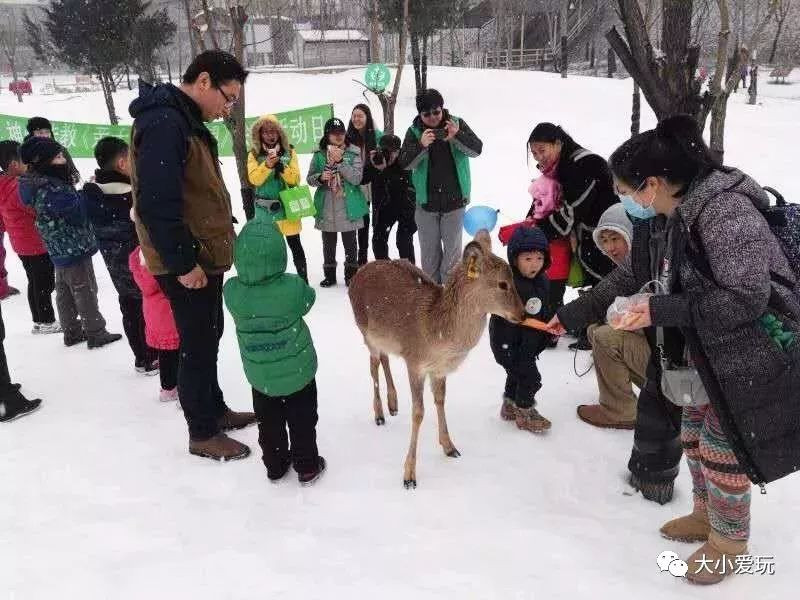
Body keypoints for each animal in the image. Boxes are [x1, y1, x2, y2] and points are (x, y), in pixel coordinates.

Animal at [348, 230, 524, 488]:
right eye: (502, 283)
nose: (523, 314)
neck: (438, 336)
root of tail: (355, 275)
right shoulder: (414, 362)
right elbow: (418, 412)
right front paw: (409, 476)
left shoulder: (438, 370)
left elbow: (440, 401)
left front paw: (450, 447)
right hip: (365, 333)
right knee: (373, 365)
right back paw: (379, 414)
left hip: (384, 340)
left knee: (384, 359)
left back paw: (393, 404)